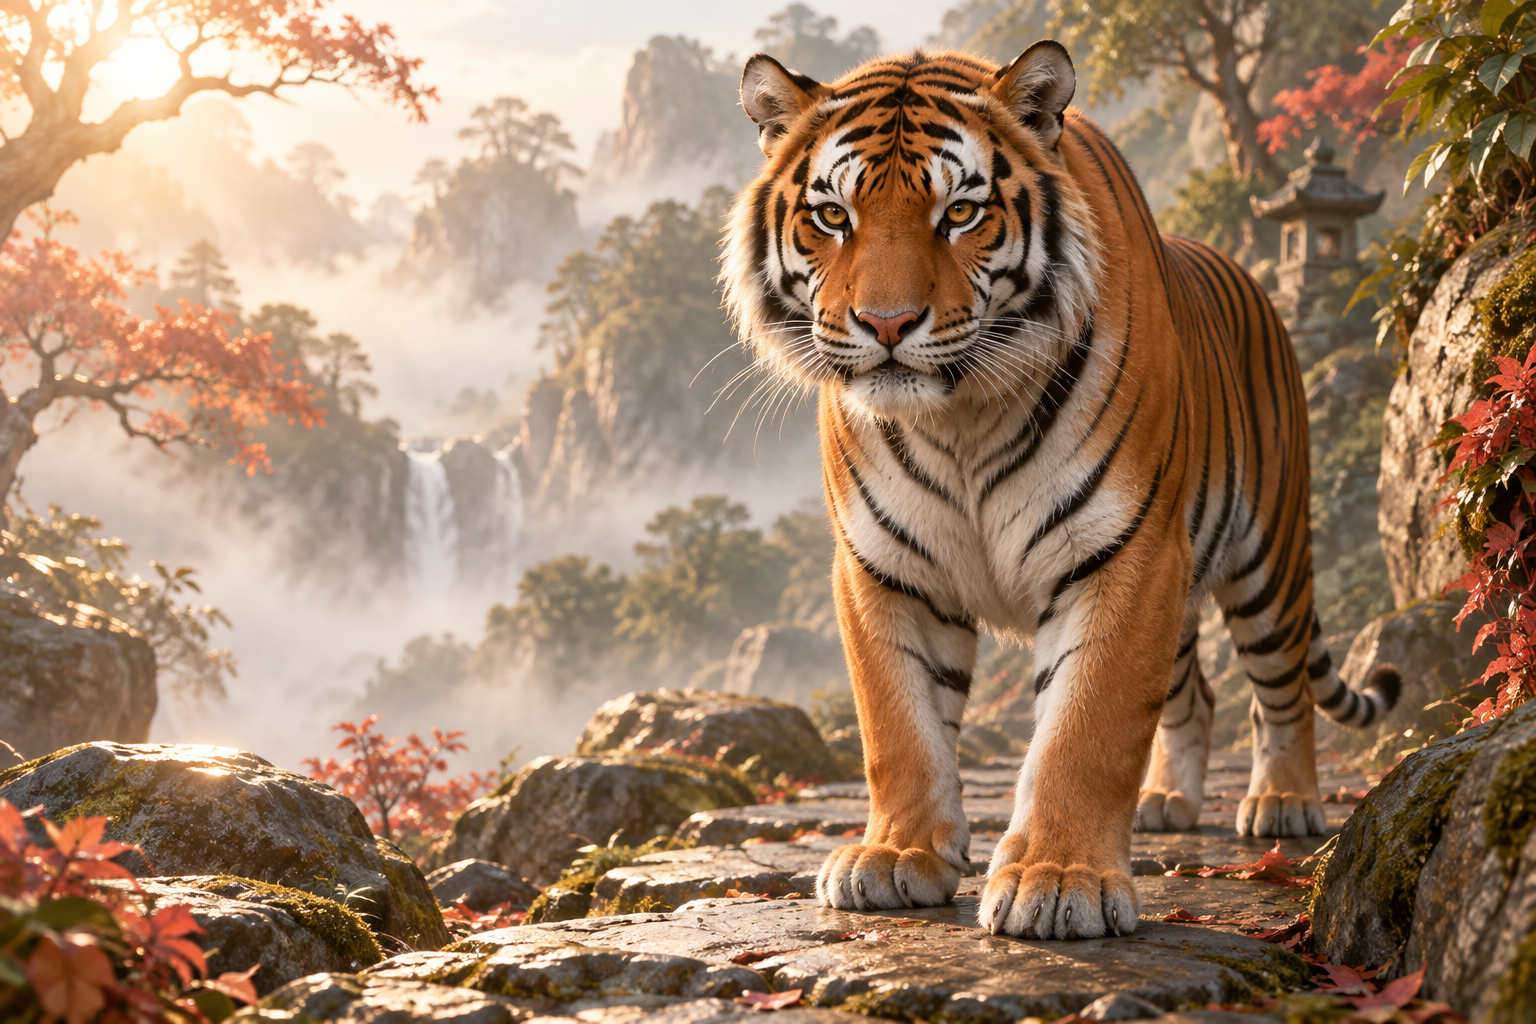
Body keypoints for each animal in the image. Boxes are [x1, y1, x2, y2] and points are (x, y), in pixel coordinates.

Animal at [720, 40, 1402, 940]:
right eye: (833, 217)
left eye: (960, 214)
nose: (887, 324)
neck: (959, 419)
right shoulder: (883, 567)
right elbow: (898, 725)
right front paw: (897, 855)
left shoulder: (1125, 552)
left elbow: (1087, 728)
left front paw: (1059, 879)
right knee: (1196, 693)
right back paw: (1167, 801)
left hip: (1270, 560)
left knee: (1279, 690)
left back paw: (1283, 802)